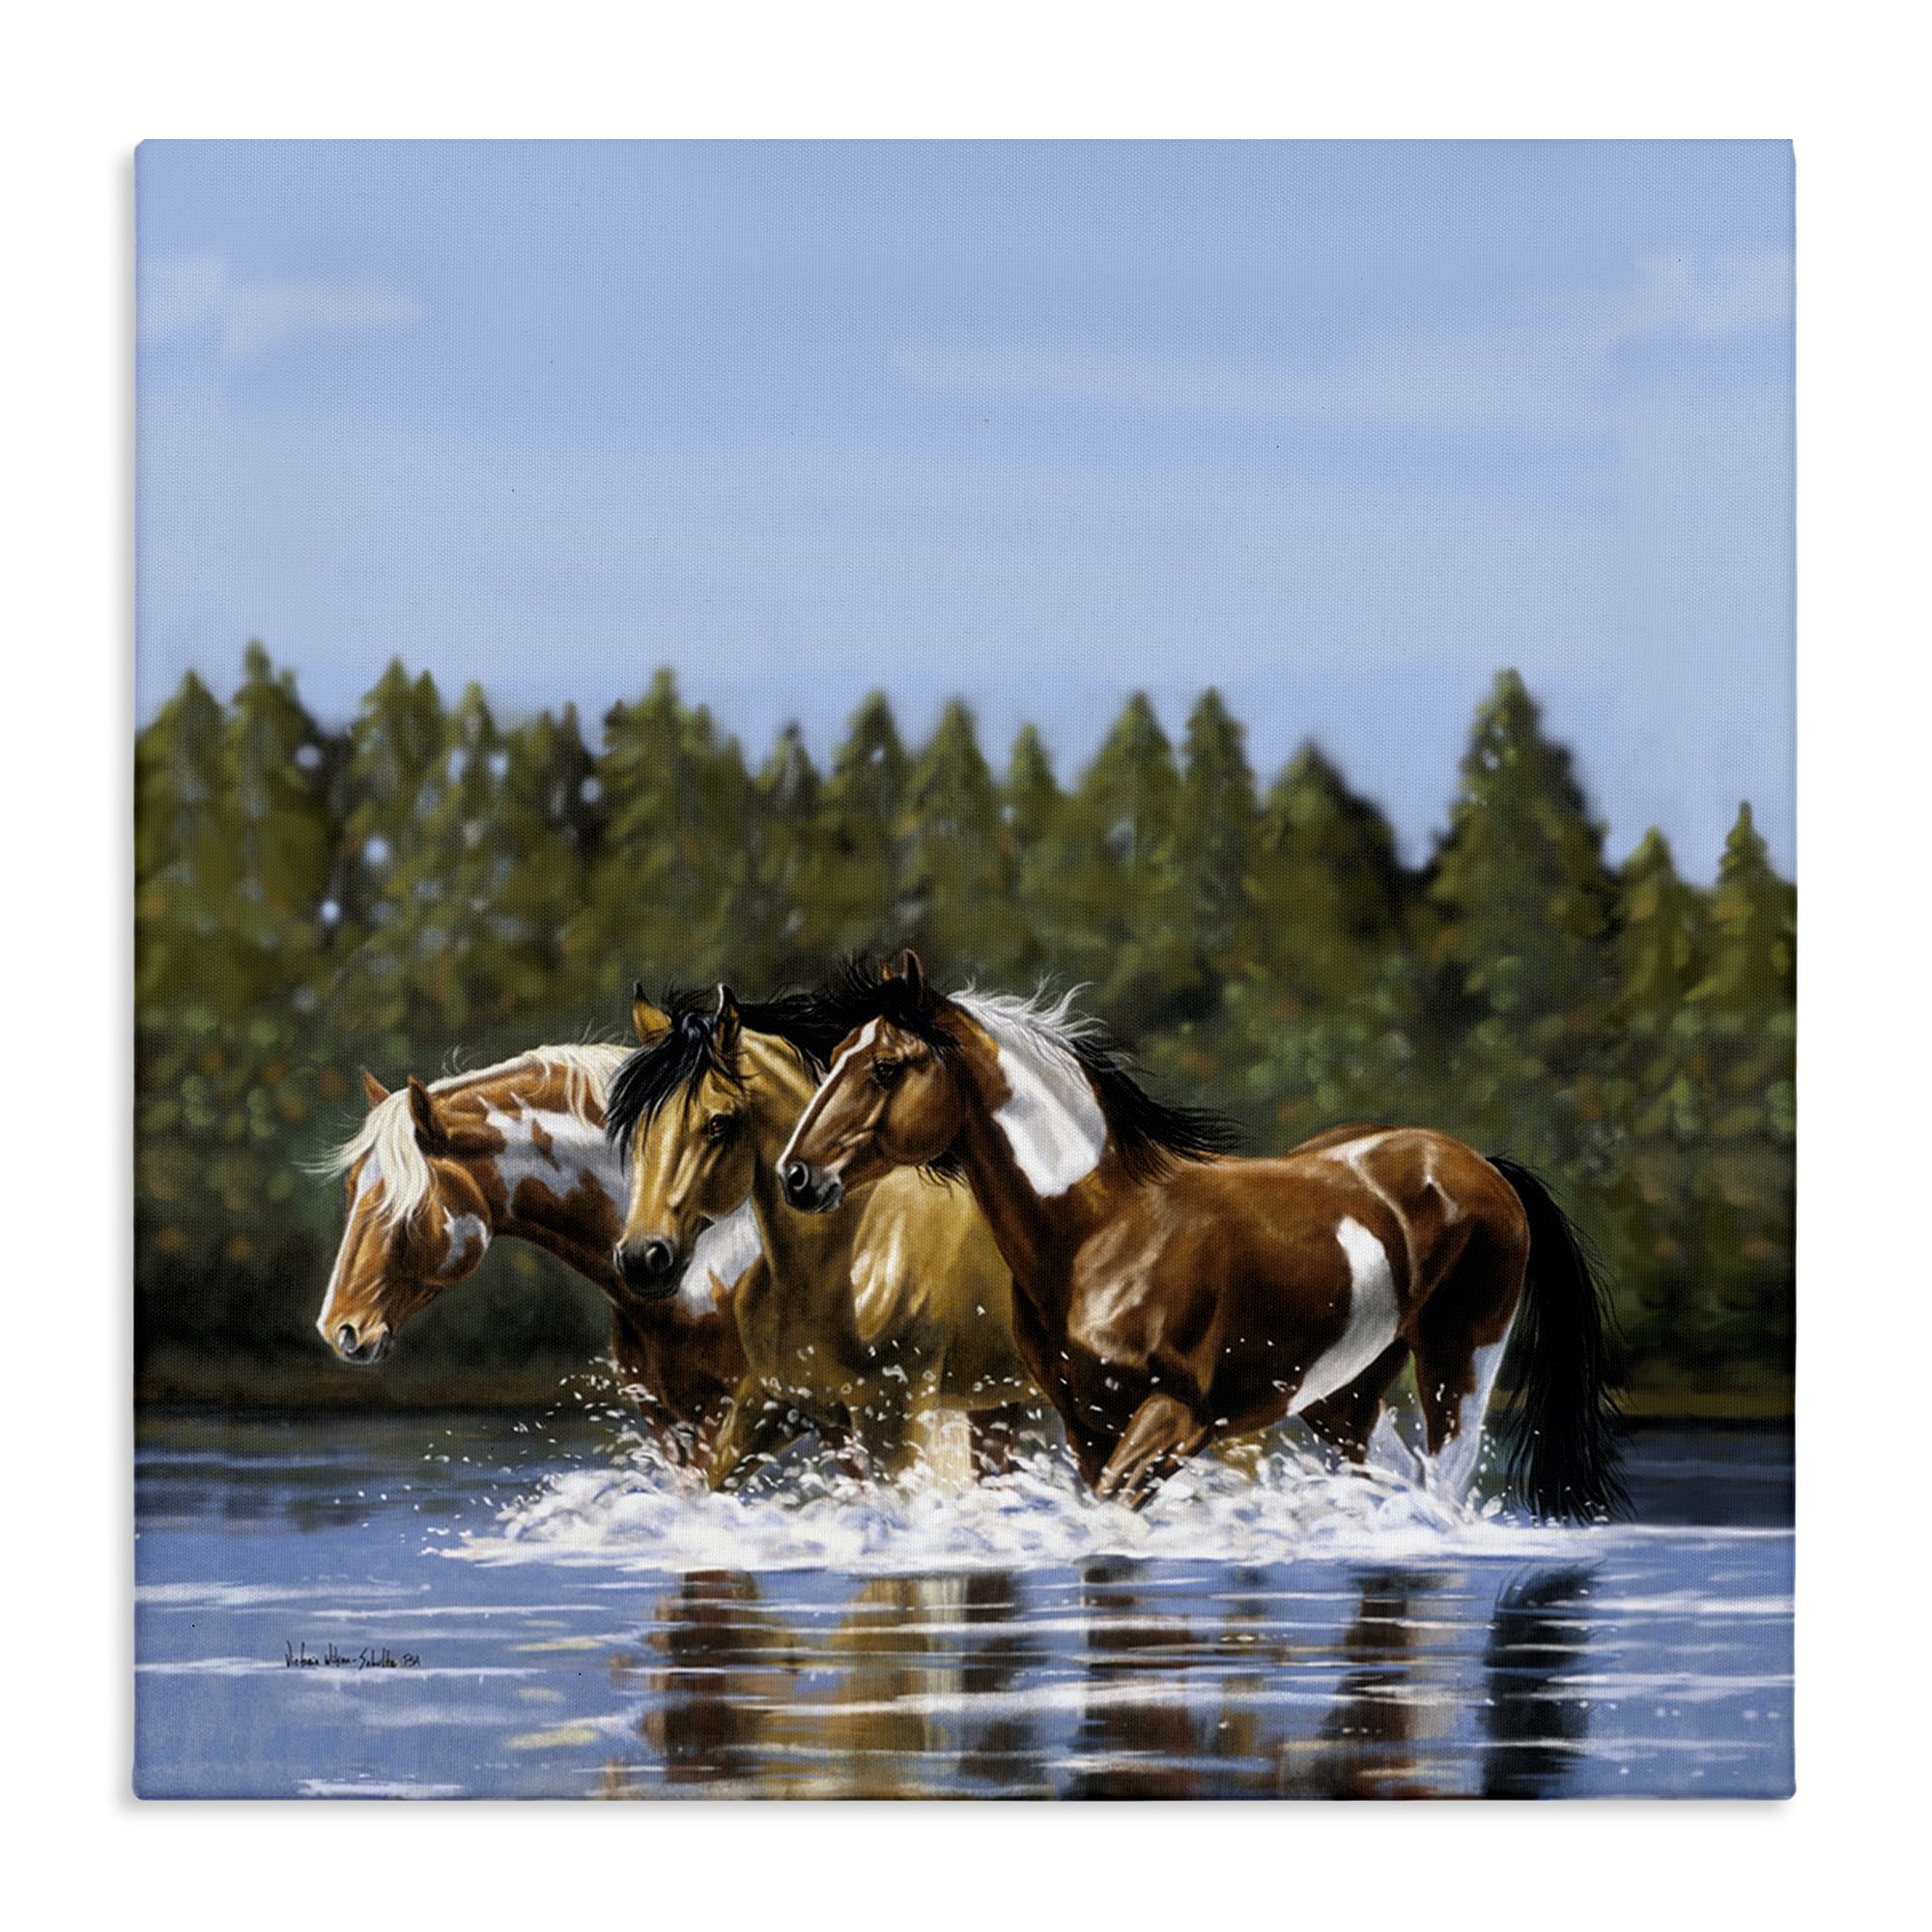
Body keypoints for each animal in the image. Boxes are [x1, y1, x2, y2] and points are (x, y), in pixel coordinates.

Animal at [606, 987, 1039, 1491]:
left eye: (718, 1123)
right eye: (639, 1127)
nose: (642, 1258)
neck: (844, 1259)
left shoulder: (891, 1420)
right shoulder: (769, 1402)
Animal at [777, 953, 1624, 1519]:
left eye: (887, 1067)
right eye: (841, 1055)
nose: (797, 1175)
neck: (1103, 1230)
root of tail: (1479, 1165)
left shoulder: (1175, 1420)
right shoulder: (1087, 1425)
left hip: (1460, 1364)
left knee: (1443, 1479)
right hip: (1342, 1394)